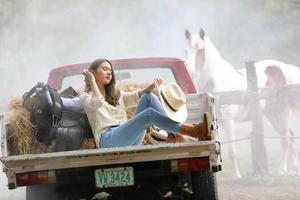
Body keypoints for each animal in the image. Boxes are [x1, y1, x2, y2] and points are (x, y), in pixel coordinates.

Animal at [185, 28, 300, 177]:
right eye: (186, 51)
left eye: (200, 50)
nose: (190, 71)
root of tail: (287, 69)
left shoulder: (229, 122)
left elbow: (232, 152)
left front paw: (237, 176)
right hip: (272, 115)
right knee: (290, 137)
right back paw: (294, 169)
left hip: (282, 112)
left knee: (285, 140)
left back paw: (282, 170)